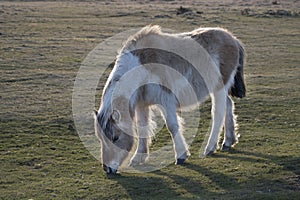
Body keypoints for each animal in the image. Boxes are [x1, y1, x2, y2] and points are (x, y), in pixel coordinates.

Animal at [94, 25, 246, 173]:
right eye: (100, 138)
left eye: (115, 138)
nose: (107, 168)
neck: (141, 66)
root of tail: (232, 39)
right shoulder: (142, 104)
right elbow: (142, 127)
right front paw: (138, 158)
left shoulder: (166, 100)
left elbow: (172, 126)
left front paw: (181, 156)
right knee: (228, 105)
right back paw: (228, 141)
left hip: (219, 88)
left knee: (218, 114)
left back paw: (210, 148)